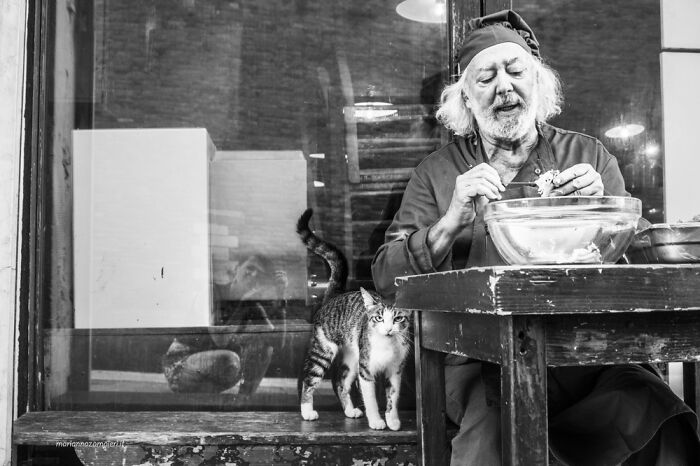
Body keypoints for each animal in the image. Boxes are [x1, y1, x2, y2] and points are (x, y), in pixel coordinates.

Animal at [296, 209, 410, 432]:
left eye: (398, 318)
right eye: (378, 318)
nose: (388, 329)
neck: (387, 345)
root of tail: (333, 297)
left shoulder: (395, 370)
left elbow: (393, 397)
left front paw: (392, 420)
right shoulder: (366, 370)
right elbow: (371, 398)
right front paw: (376, 421)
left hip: (352, 356)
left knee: (340, 381)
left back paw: (349, 410)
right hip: (324, 349)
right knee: (309, 378)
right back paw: (307, 411)